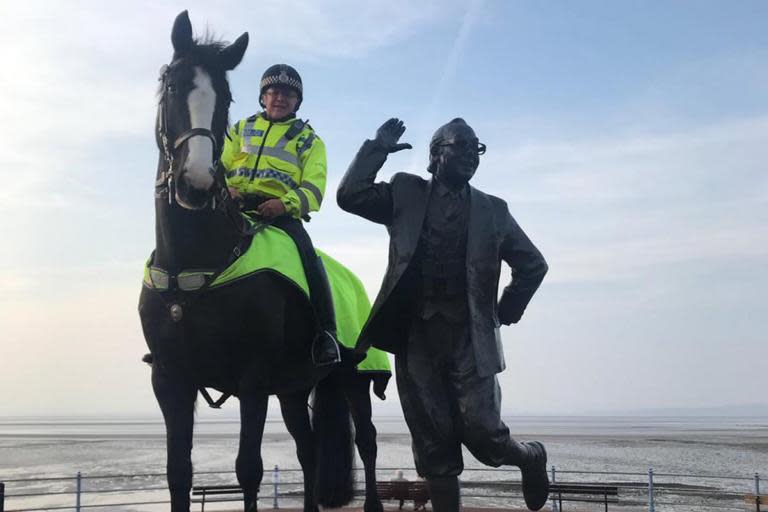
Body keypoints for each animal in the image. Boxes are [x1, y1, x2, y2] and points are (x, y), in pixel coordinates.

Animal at [138, 11, 388, 512]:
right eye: (172, 85)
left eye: (226, 97)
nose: (196, 183)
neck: (196, 261)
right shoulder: (170, 381)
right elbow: (178, 473)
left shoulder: (252, 382)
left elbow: (248, 470)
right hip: (294, 389)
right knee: (308, 450)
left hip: (353, 378)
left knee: (367, 442)